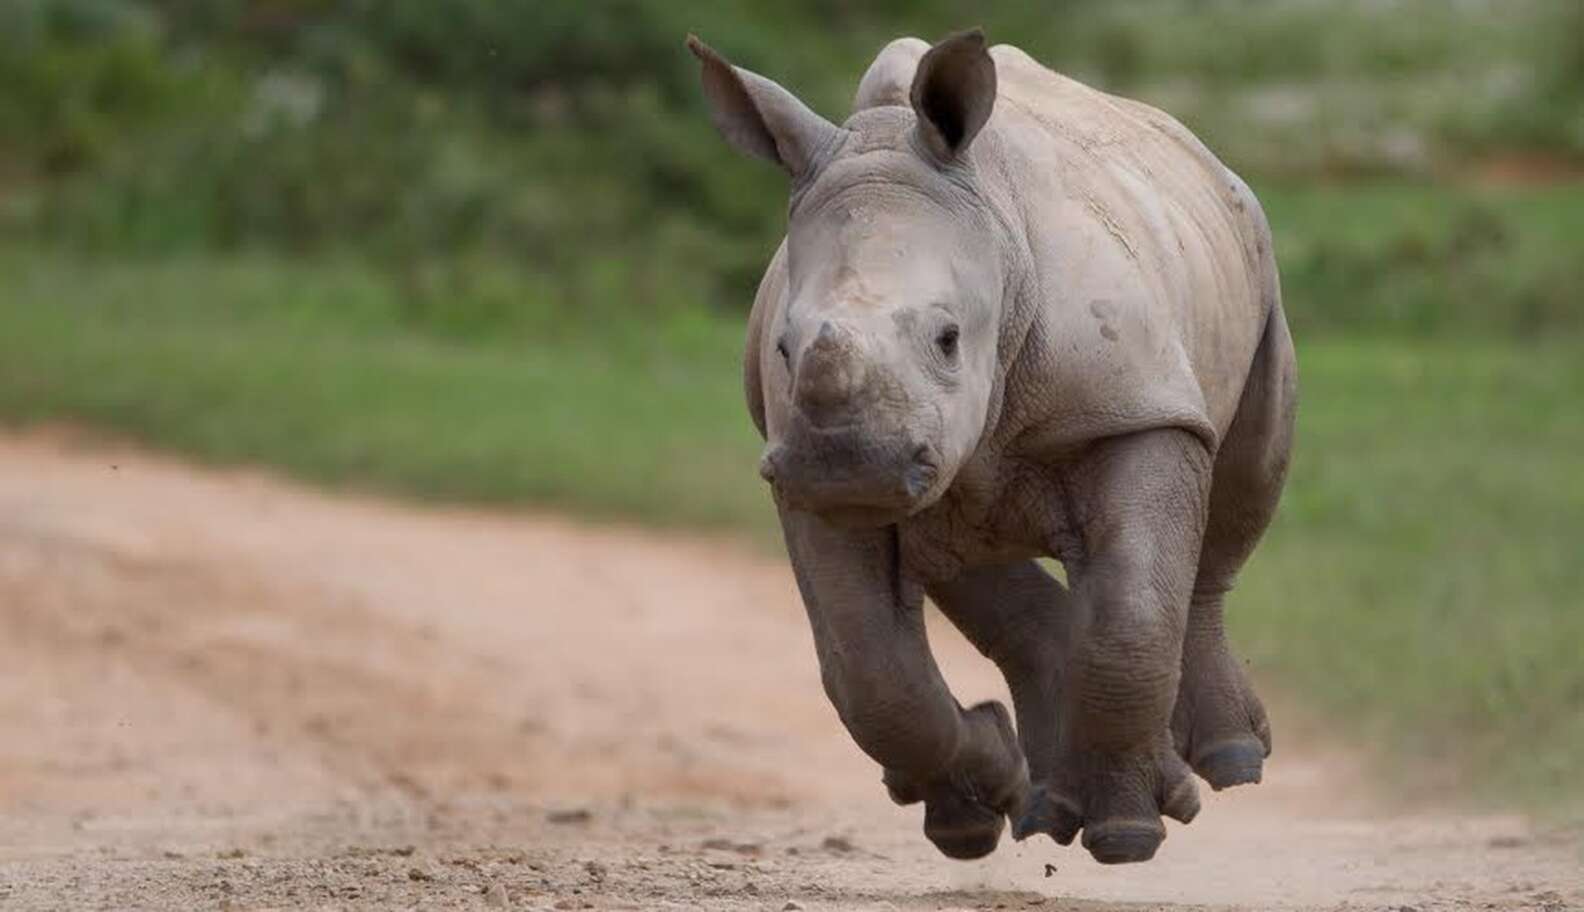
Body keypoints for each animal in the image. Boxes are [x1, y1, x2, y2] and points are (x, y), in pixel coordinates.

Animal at [687, 32, 1292, 867]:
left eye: (948, 337)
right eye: (782, 347)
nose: (849, 465)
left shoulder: (1136, 406)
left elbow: (1134, 612)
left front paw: (1127, 832)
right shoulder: (802, 468)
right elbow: (868, 667)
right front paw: (984, 806)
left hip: (1249, 261)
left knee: (1239, 491)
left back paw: (1229, 763)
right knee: (965, 553)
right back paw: (1028, 805)